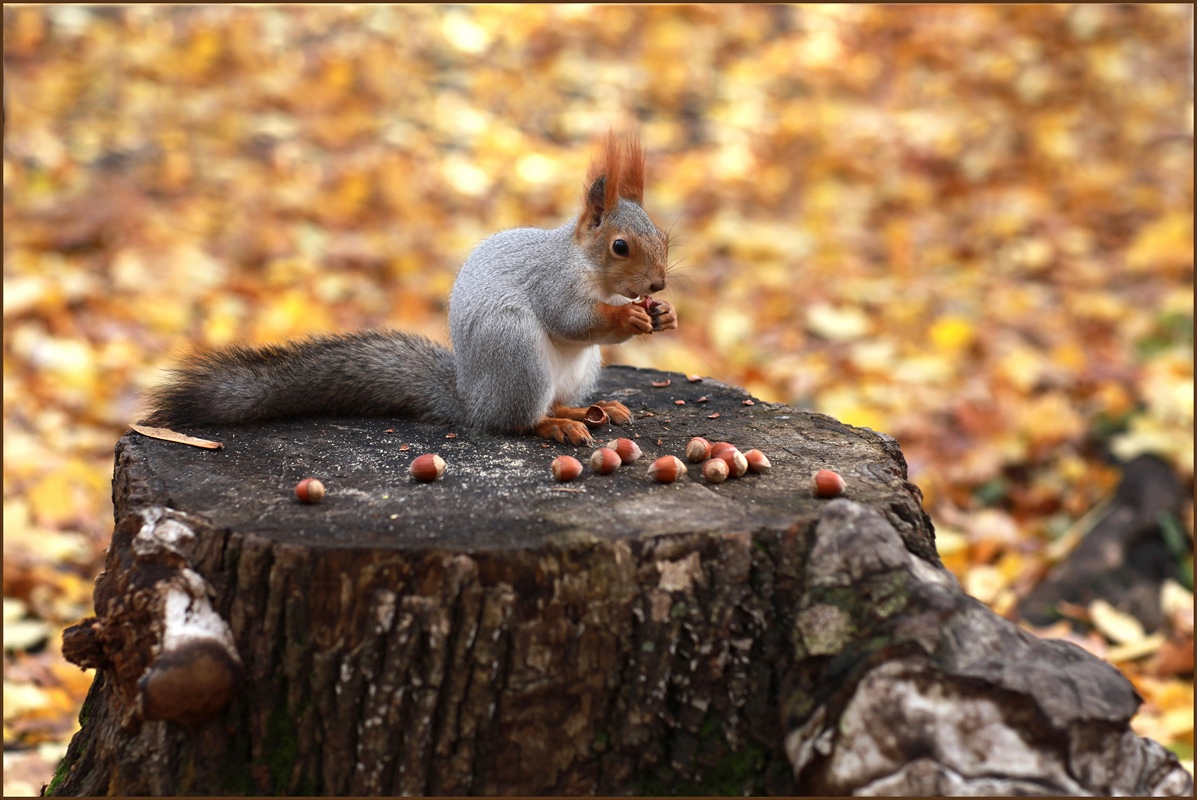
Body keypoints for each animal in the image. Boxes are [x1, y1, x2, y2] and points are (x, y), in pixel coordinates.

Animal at [142, 130, 675, 443]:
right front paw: (628, 315)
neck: (588, 267)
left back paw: (591, 409)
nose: (659, 283)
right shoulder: (553, 282)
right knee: (516, 420)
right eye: (620, 247)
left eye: (665, 237)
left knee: (558, 398)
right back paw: (556, 425)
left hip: (580, 369)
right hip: (517, 355)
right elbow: (571, 319)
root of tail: (471, 400)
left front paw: (663, 315)